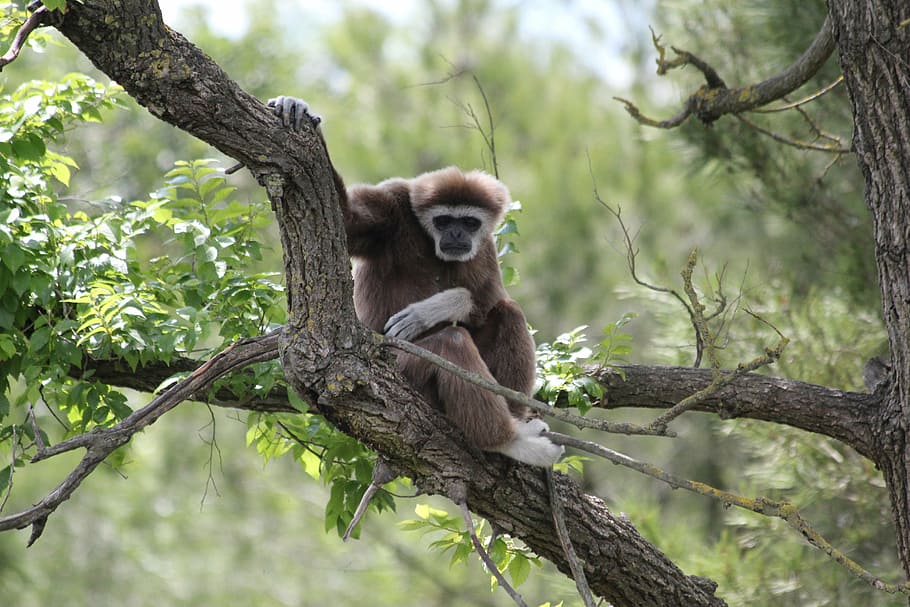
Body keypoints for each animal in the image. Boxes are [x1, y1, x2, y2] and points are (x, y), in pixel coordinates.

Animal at [268, 96, 562, 467]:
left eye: (468, 222)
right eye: (444, 221)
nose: (456, 235)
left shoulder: (484, 246)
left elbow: (487, 299)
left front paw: (437, 308)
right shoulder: (392, 206)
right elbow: (345, 221)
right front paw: (300, 111)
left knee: (507, 311)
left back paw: (514, 423)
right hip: (404, 370)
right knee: (453, 341)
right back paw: (506, 442)